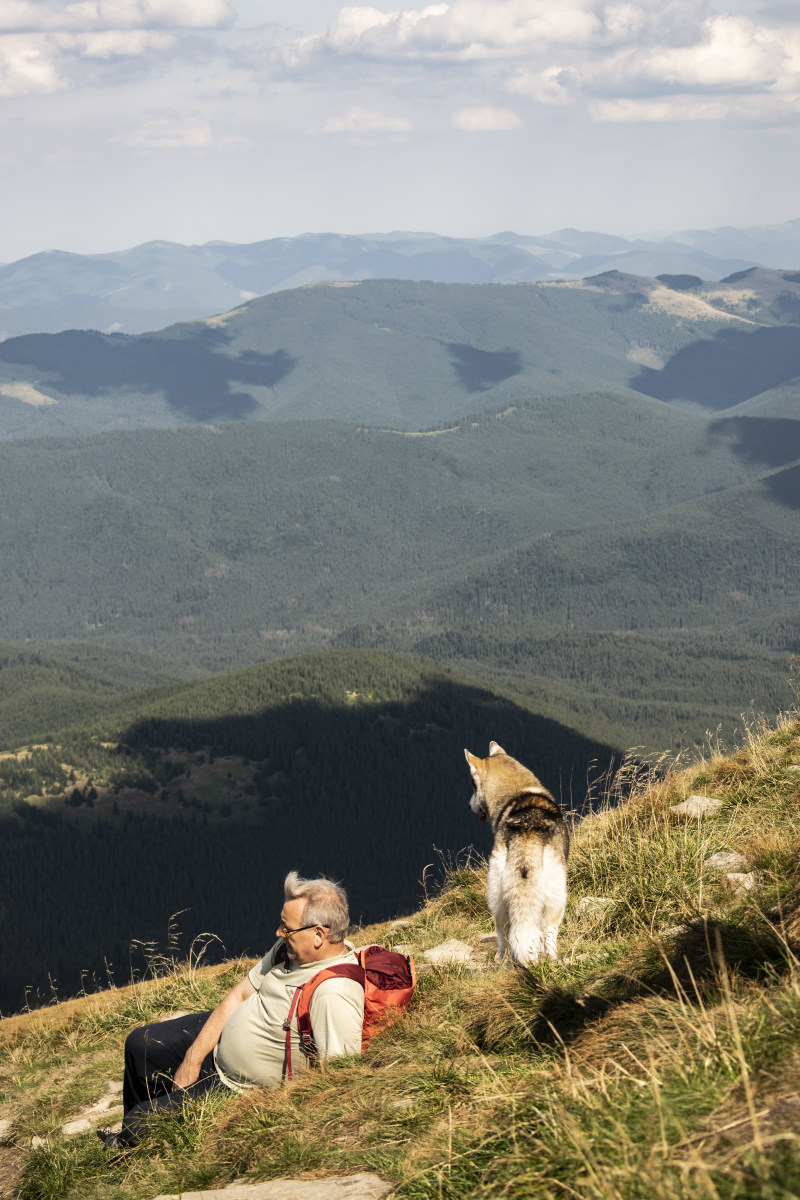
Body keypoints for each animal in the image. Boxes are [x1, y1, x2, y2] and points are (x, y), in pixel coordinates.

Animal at [462, 739, 568, 964]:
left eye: (474, 785)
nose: (468, 806)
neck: (519, 792)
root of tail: (527, 836)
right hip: (557, 897)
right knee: (545, 933)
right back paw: (551, 958)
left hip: (497, 893)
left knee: (504, 932)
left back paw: (501, 959)